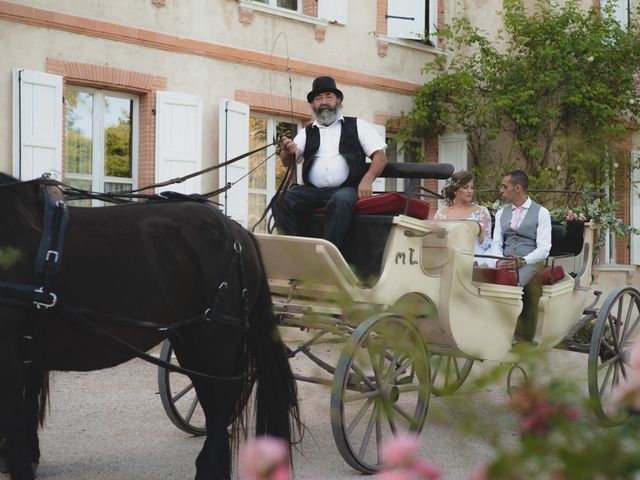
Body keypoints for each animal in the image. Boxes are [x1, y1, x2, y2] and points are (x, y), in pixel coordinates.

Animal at [0, 174, 300, 478]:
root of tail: (238, 232)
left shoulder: (10, 352)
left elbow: (13, 422)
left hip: (214, 339)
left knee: (221, 406)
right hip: (191, 339)